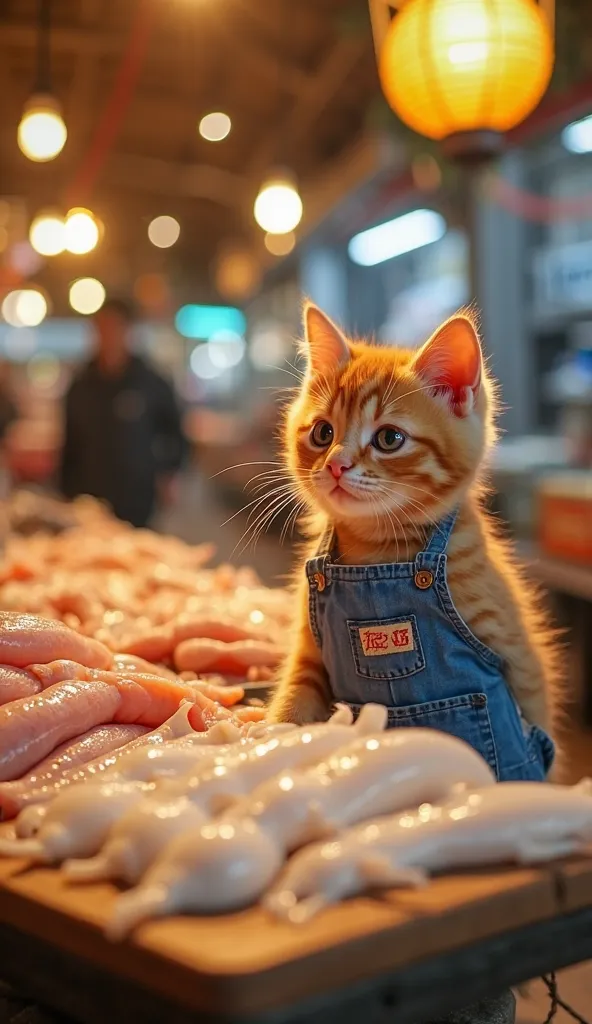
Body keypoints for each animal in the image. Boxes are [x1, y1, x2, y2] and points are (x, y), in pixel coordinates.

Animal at [266, 303, 557, 782]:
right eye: (323, 433)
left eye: (389, 439)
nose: (336, 465)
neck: (376, 554)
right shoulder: (309, 650)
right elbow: (294, 698)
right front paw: (268, 740)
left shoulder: (520, 658)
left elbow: (539, 710)